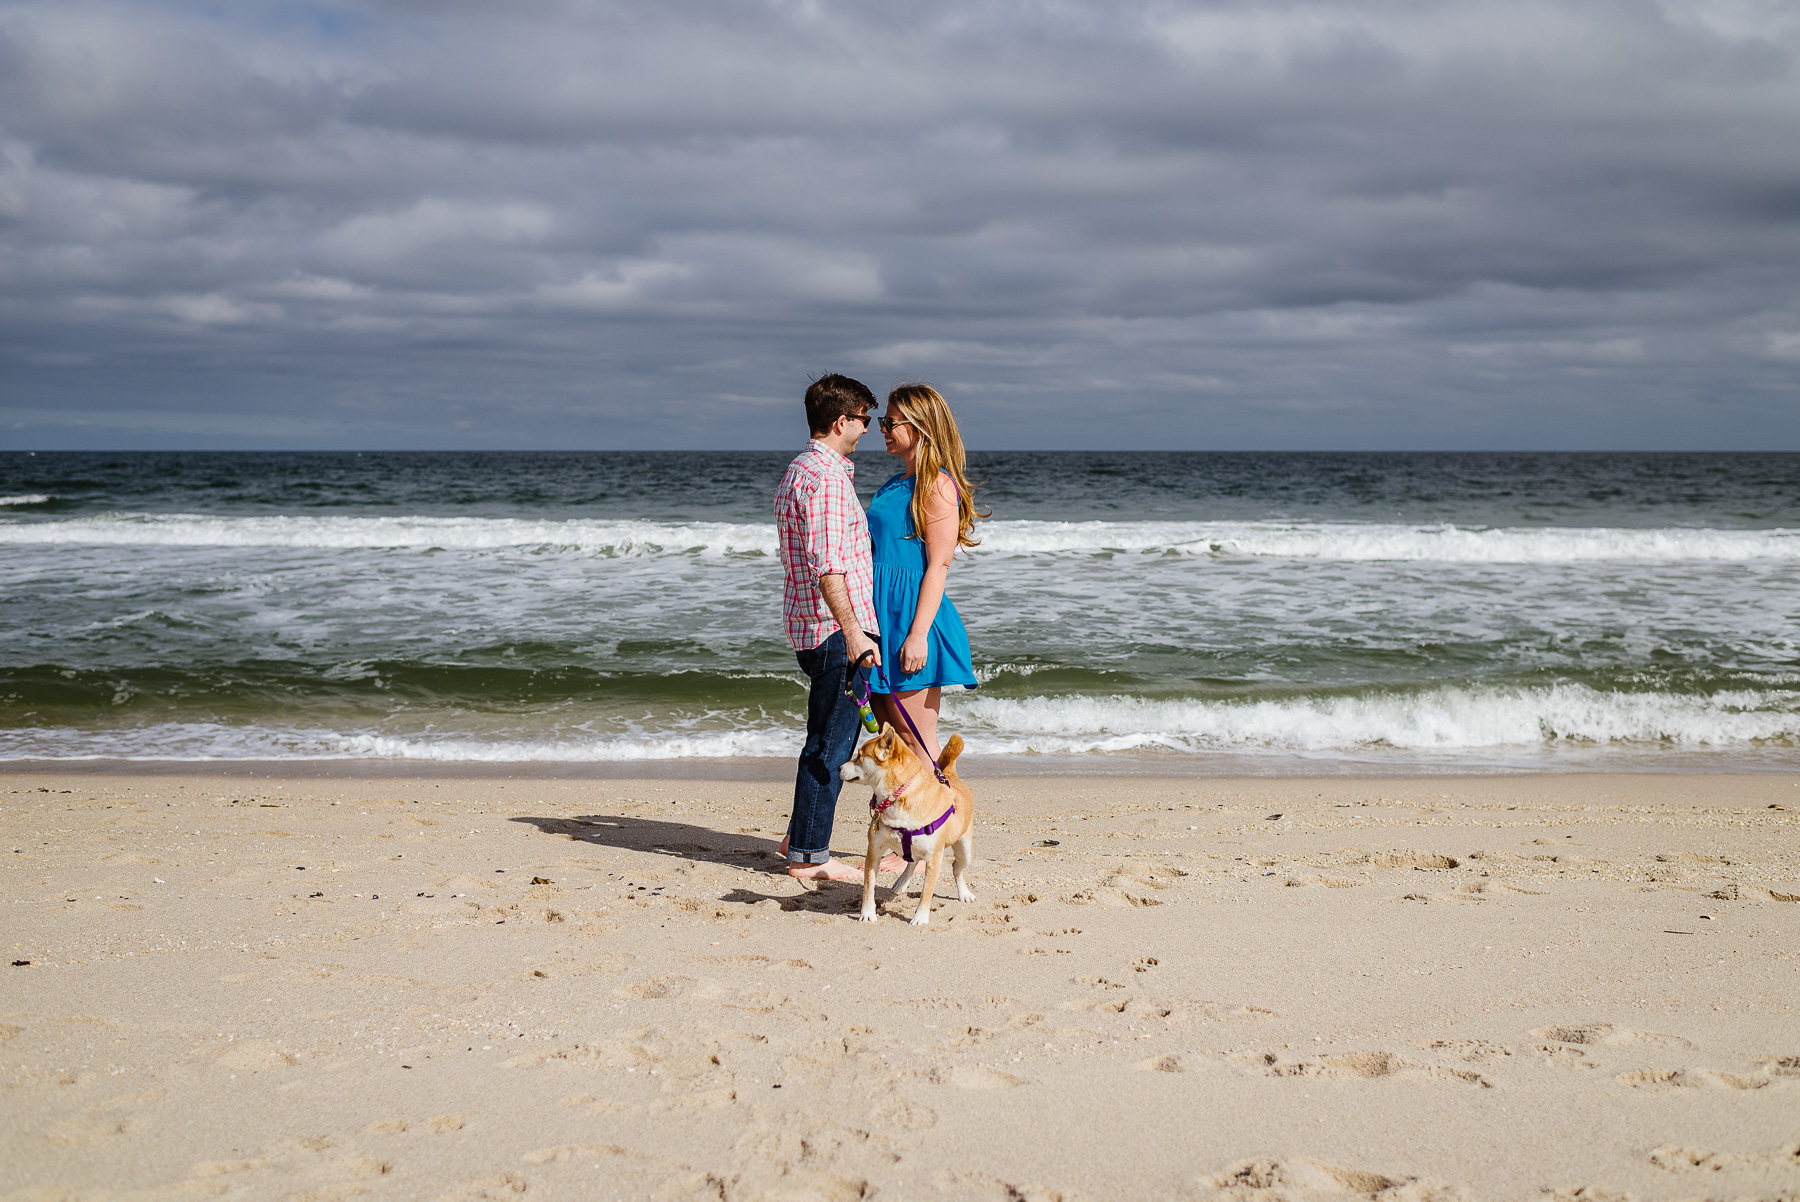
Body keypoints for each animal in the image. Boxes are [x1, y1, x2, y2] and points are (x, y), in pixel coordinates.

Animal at [838, 723, 979, 928]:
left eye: (859, 756)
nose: (838, 767)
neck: (896, 797)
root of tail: (949, 775)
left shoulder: (934, 858)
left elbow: (926, 891)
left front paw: (920, 917)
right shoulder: (874, 851)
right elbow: (868, 887)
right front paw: (867, 913)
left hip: (965, 850)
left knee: (956, 868)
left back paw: (964, 893)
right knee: (912, 861)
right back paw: (902, 882)